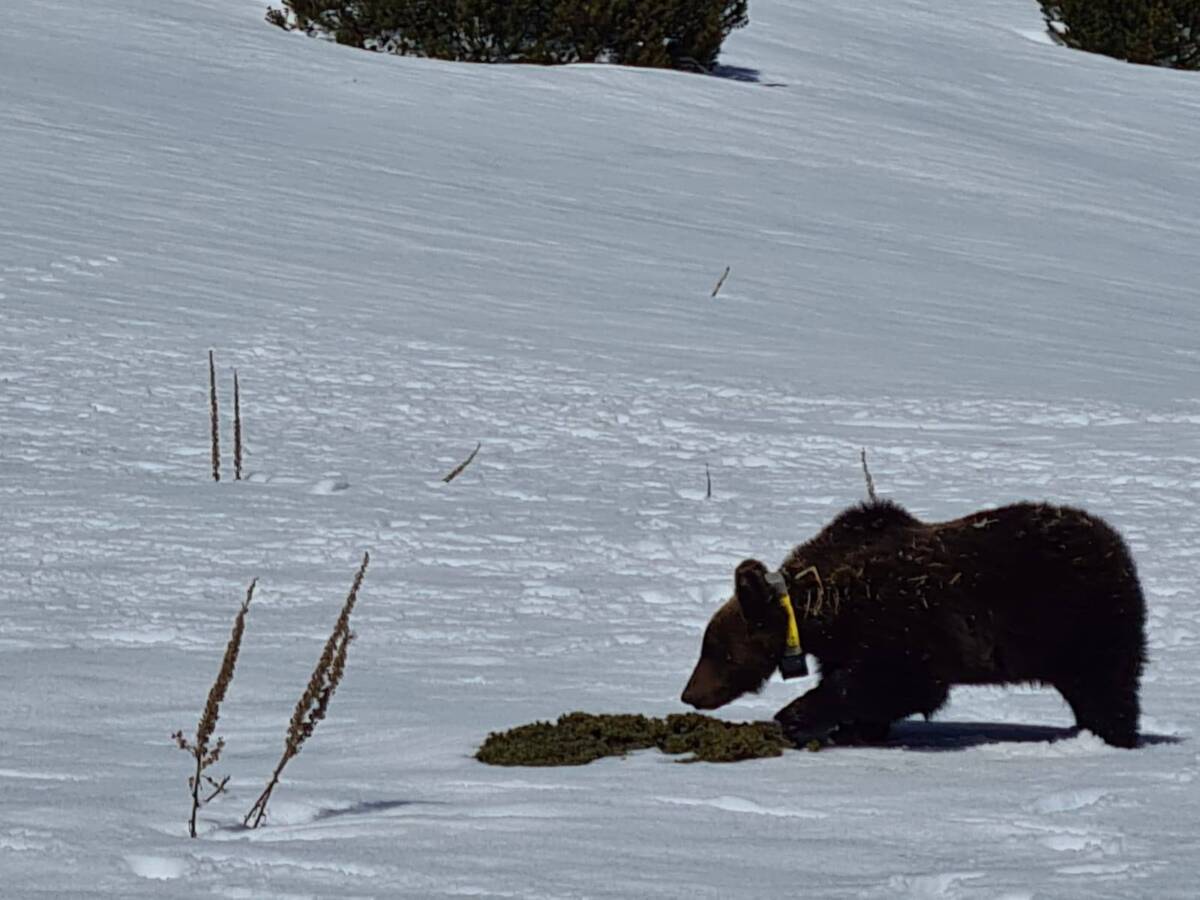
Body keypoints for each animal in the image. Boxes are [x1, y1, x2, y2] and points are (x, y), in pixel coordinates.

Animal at [681, 499, 1146, 748]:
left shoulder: (905, 624)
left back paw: (1110, 736)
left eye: (717, 651)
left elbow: (898, 684)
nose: (690, 694)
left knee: (1106, 690)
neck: (825, 609)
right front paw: (855, 729)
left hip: (1080, 624)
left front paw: (795, 715)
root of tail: (1118, 547)